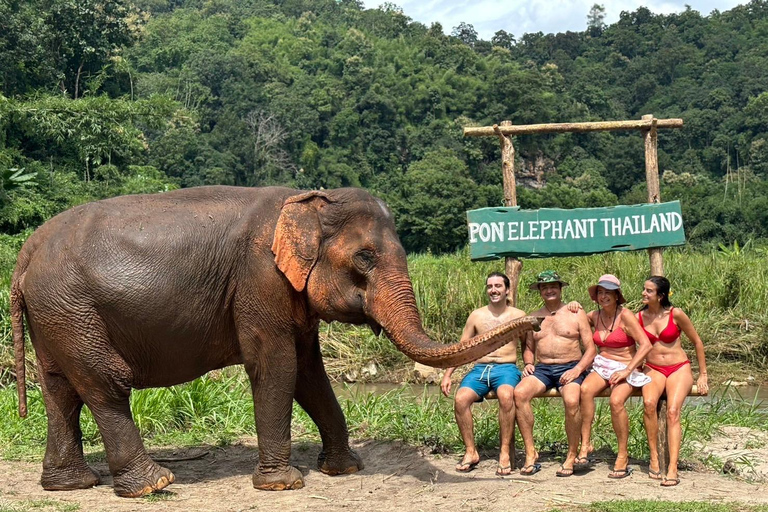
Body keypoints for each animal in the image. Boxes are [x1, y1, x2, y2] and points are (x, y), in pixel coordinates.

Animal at [12, 187, 540, 496]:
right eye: (365, 258)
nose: (535, 322)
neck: (308, 201)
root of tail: (25, 254)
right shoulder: (259, 280)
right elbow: (277, 365)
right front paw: (284, 485)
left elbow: (309, 372)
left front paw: (344, 469)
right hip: (70, 308)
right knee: (105, 384)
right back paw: (153, 484)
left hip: (56, 315)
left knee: (60, 389)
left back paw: (71, 485)